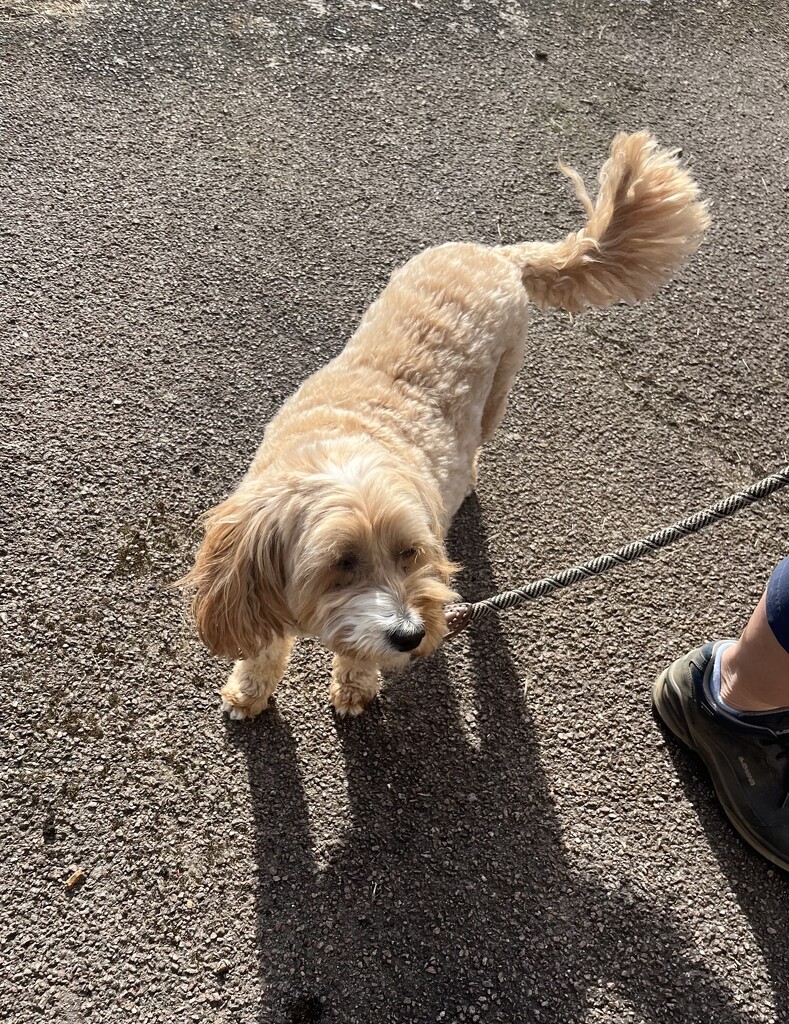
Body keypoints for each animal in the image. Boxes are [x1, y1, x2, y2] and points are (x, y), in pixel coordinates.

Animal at [183, 130, 708, 720]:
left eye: (409, 553)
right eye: (341, 563)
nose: (412, 636)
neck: (344, 443)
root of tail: (497, 254)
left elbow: (357, 651)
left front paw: (354, 684)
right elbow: (265, 641)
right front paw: (250, 690)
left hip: (500, 385)